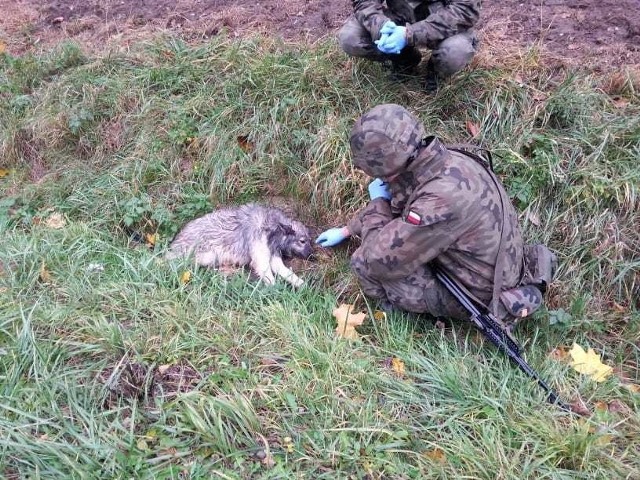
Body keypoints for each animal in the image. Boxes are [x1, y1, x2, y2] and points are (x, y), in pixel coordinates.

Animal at [166, 202, 314, 286]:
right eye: (302, 241)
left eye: (309, 240)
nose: (312, 256)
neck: (273, 228)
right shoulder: (261, 260)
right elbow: (271, 279)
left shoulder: (273, 257)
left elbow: (289, 274)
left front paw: (302, 285)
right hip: (206, 255)